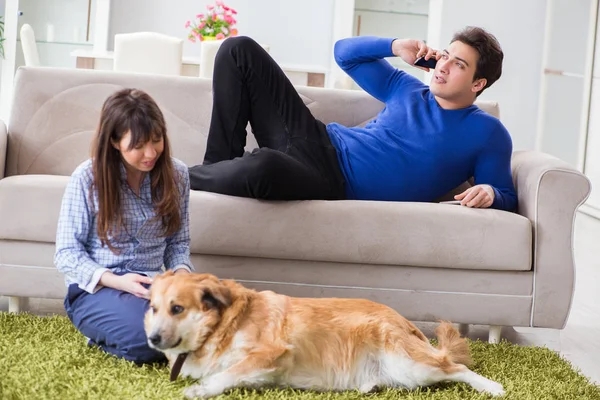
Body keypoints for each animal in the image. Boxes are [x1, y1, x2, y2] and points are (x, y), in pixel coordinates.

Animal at [143, 270, 504, 398]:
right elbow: (232, 373)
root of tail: (404, 321)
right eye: (153, 308)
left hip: (411, 365)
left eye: (177, 308)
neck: (220, 325)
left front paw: (200, 390)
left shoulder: (272, 352)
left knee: (457, 367)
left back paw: (493, 387)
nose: (153, 340)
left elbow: (226, 373)